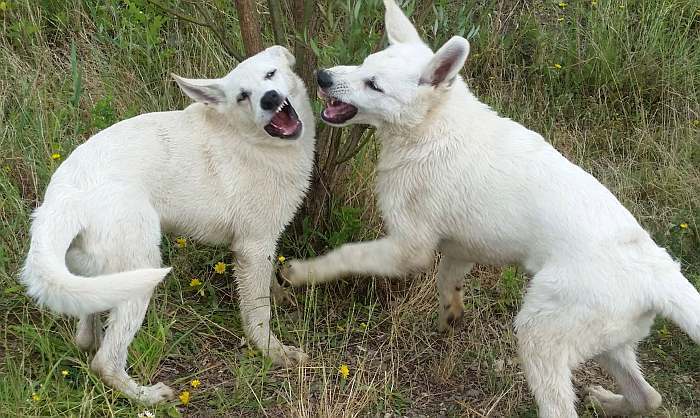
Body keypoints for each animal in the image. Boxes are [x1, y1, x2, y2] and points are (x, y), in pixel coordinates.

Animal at [21, 45, 314, 404]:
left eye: (271, 74)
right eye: (242, 96)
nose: (270, 99)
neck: (251, 140)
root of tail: (61, 200)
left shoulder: (261, 247)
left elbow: (268, 283)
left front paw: (281, 294)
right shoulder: (253, 246)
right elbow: (258, 313)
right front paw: (275, 353)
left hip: (96, 278)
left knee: (86, 332)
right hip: (141, 271)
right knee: (105, 361)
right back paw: (147, 396)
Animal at [284, 1, 700, 416]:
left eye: (374, 84)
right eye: (363, 63)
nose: (321, 77)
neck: (431, 125)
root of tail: (659, 274)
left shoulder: (408, 248)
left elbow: (346, 255)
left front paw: (301, 273)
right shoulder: (463, 247)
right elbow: (446, 280)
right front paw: (450, 313)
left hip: (539, 333)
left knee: (568, 406)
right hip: (608, 343)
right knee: (649, 396)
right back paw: (608, 400)